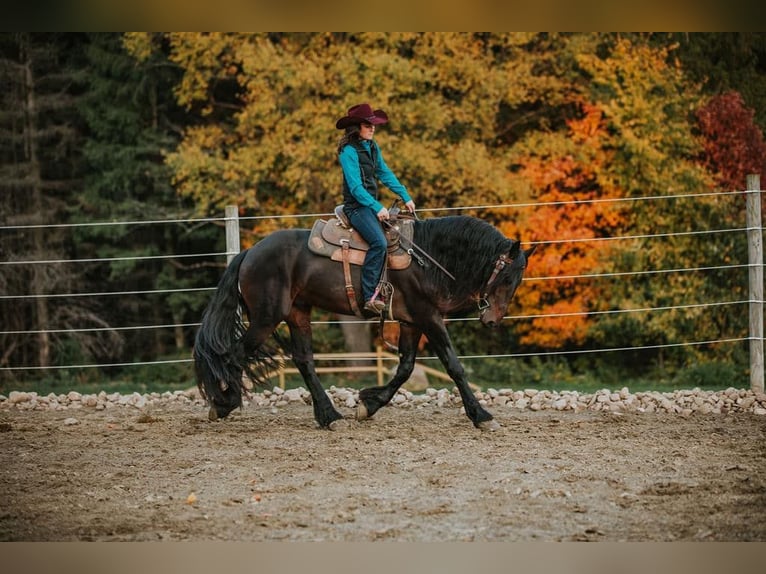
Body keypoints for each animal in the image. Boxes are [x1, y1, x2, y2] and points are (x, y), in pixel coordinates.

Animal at [195, 216, 536, 432]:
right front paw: (482, 415)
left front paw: (368, 404)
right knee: (234, 354)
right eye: (506, 277)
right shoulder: (428, 316)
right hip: (267, 317)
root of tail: (250, 252)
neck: (428, 260)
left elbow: (405, 368)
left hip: (297, 313)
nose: (492, 319)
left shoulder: (411, 322)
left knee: (303, 361)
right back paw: (224, 403)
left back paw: (329, 415)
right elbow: (454, 366)